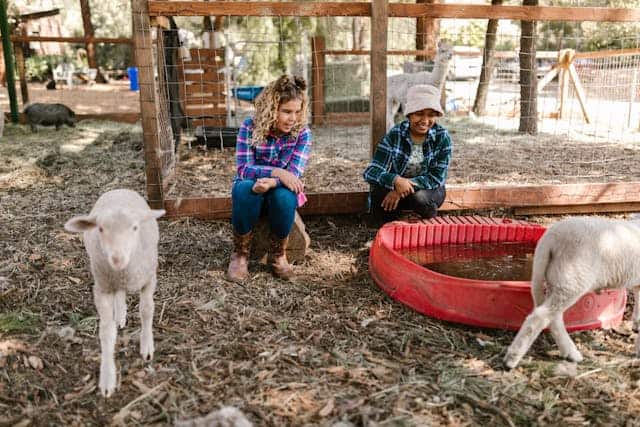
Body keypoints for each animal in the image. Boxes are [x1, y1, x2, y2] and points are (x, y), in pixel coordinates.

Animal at [64, 191, 165, 398]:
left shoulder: (149, 279)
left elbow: (146, 311)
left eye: (135, 227)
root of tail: (119, 189)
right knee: (119, 294)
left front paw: (147, 347)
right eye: (101, 229)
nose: (117, 259)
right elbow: (106, 332)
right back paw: (120, 315)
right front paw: (107, 378)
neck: (123, 271)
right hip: (109, 281)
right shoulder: (102, 289)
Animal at [504, 217, 640, 372]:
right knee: (540, 316)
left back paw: (570, 352)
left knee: (553, 317)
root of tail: (550, 239)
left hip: (558, 281)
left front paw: (636, 325)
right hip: (573, 280)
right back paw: (511, 359)